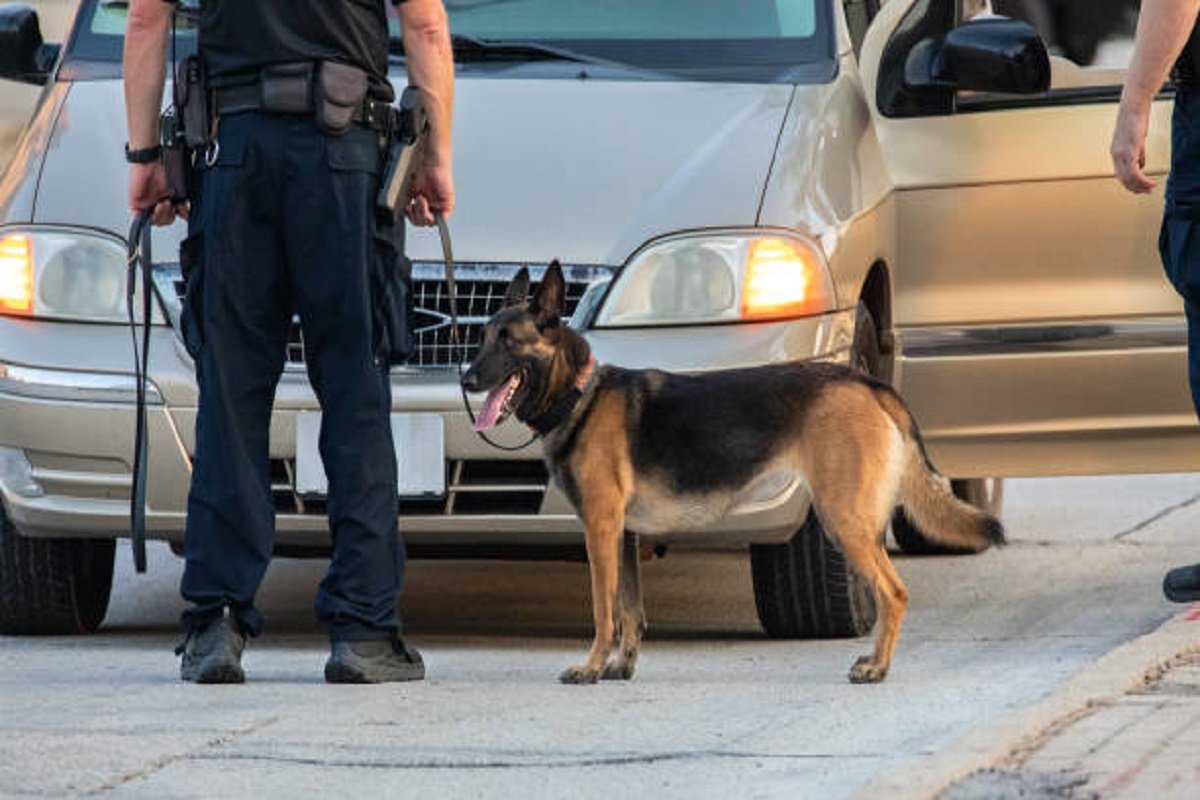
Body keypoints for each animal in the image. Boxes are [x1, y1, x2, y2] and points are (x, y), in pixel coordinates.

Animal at [458, 266, 1003, 686]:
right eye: (483, 338)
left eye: (509, 342)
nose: (466, 378)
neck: (579, 395)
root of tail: (864, 381)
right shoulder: (625, 537)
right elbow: (629, 610)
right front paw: (621, 667)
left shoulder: (601, 531)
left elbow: (603, 610)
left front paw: (590, 668)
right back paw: (874, 660)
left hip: (842, 519)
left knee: (894, 592)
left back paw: (878, 669)